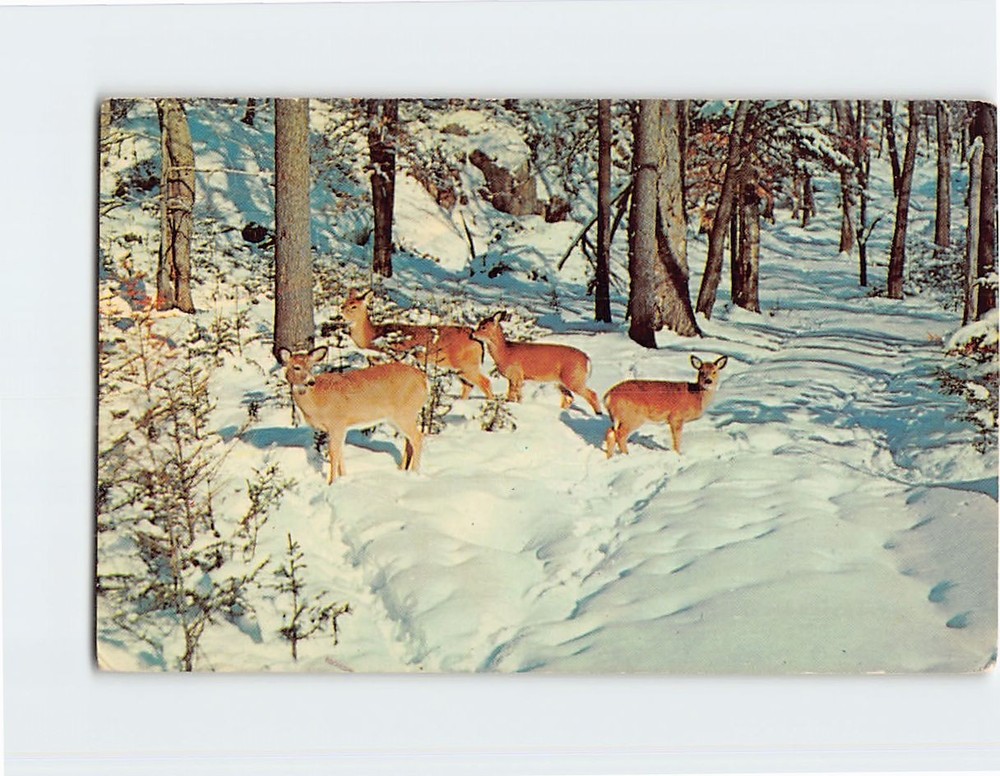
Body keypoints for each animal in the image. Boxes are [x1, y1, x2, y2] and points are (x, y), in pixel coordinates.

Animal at [277, 346, 428, 483]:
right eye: (296, 367)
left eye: (311, 367)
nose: (310, 381)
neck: (317, 399)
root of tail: (424, 379)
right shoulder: (340, 427)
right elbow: (340, 451)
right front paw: (343, 478)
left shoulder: (337, 422)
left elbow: (333, 452)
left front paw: (331, 482)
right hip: (398, 417)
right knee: (409, 441)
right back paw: (402, 471)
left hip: (404, 413)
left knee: (418, 437)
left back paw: (414, 473)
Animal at [340, 289, 494, 401]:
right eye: (344, 303)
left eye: (354, 306)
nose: (341, 312)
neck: (372, 337)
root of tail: (477, 339)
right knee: (468, 386)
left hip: (466, 363)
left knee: (485, 382)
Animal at [470, 312, 602, 414]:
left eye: (483, 327)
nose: (472, 334)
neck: (505, 353)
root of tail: (587, 359)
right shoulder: (515, 378)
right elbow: (516, 397)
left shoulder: (516, 375)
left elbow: (513, 397)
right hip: (562, 382)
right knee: (569, 398)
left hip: (574, 378)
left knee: (592, 394)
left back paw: (598, 414)